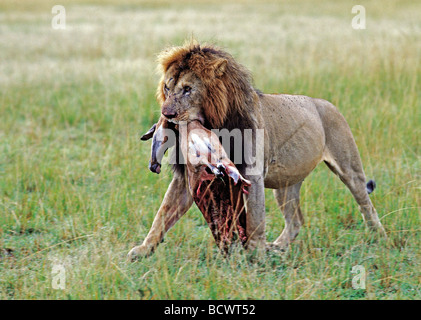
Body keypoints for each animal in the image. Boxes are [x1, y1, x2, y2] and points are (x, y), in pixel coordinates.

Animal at [126, 41, 386, 260]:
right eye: (167, 87)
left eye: (188, 89)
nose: (166, 114)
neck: (213, 123)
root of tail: (328, 103)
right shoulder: (186, 176)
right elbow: (163, 214)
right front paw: (143, 250)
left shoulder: (252, 174)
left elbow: (255, 219)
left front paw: (256, 255)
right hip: (286, 184)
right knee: (295, 220)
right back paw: (277, 248)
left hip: (349, 166)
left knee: (365, 203)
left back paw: (378, 237)